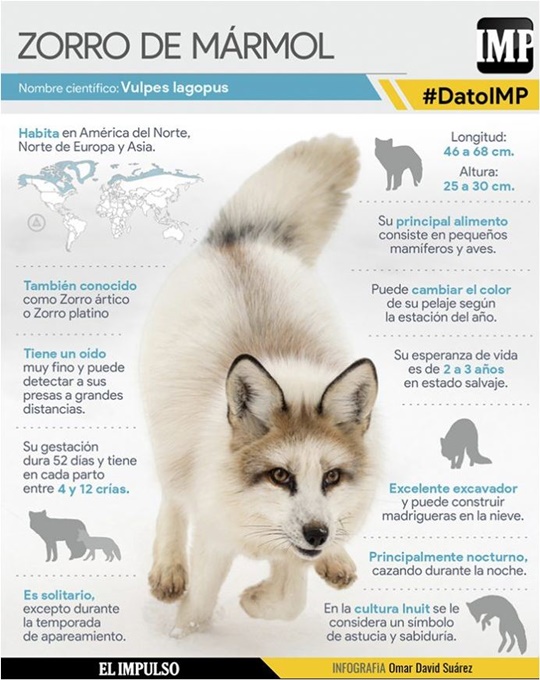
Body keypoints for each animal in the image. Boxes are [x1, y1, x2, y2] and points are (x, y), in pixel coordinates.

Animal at [141, 135, 378, 637]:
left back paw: (336, 558)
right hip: (167, 433)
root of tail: (239, 239)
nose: (317, 533)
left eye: (331, 476)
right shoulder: (214, 535)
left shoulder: (297, 544)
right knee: (171, 501)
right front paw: (182, 640)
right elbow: (198, 607)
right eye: (280, 476)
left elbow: (290, 598)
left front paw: (256, 601)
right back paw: (169, 567)